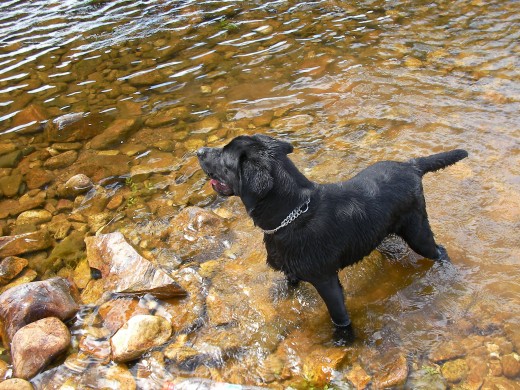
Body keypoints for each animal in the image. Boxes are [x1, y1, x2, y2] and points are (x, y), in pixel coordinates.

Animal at [197, 135, 470, 342]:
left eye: (224, 156)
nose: (198, 151)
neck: (292, 213)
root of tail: (411, 166)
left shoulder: (326, 280)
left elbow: (339, 317)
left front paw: (344, 341)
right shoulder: (291, 271)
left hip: (417, 233)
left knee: (440, 251)